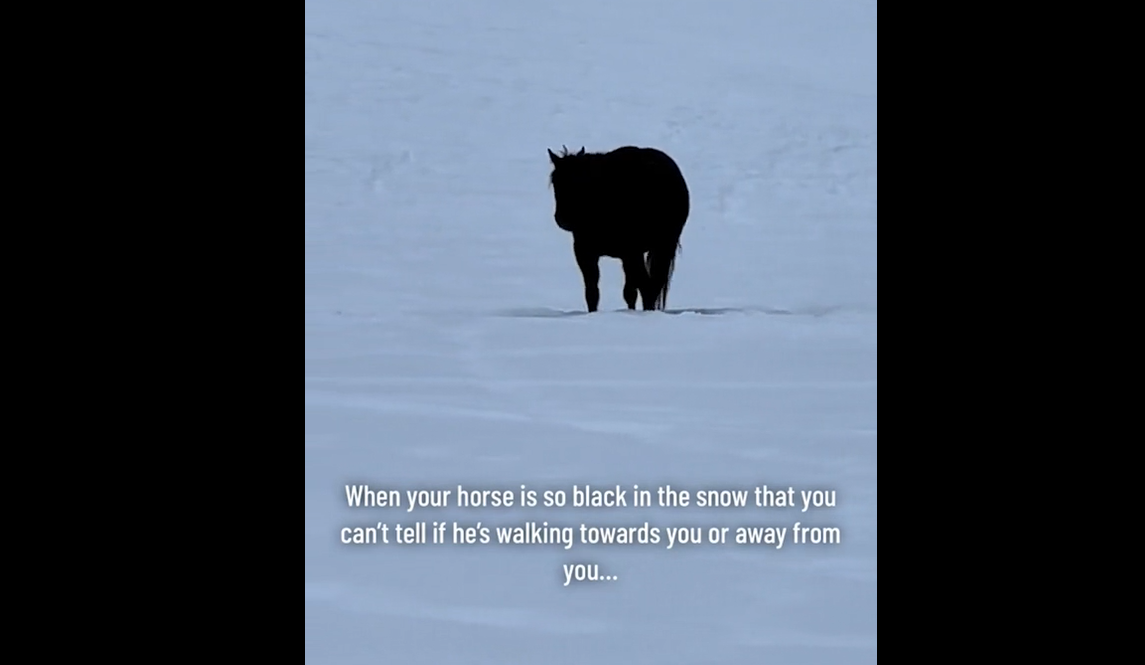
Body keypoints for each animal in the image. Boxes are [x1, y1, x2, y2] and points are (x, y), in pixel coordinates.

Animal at [547, 145, 689, 313]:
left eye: (582, 182)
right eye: (555, 181)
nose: (564, 219)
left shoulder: (625, 252)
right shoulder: (590, 252)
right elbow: (598, 292)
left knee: (648, 287)